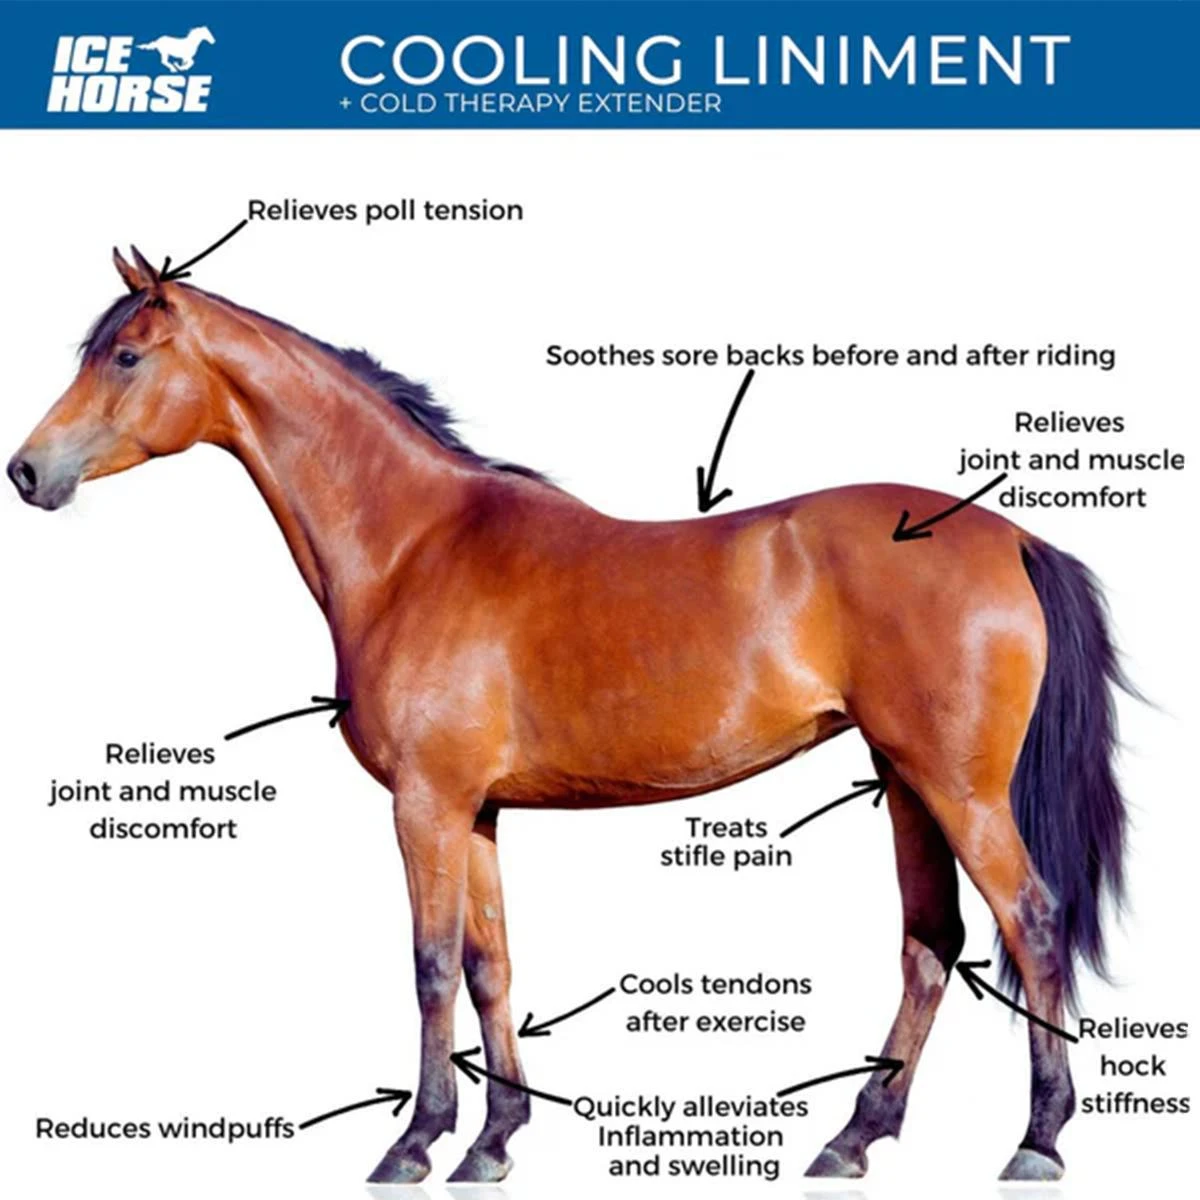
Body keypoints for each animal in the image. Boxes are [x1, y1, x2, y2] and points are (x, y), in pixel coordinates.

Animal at [8, 248, 1132, 1185]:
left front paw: (416, 1144)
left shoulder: (424, 805)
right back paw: (853, 1138)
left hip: (958, 786)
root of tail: (1011, 536)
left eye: (125, 355)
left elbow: (429, 966)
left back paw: (1035, 1141)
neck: (414, 546)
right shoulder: (476, 811)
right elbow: (490, 966)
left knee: (1030, 924)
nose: (27, 471)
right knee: (930, 942)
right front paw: (493, 1143)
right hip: (905, 779)